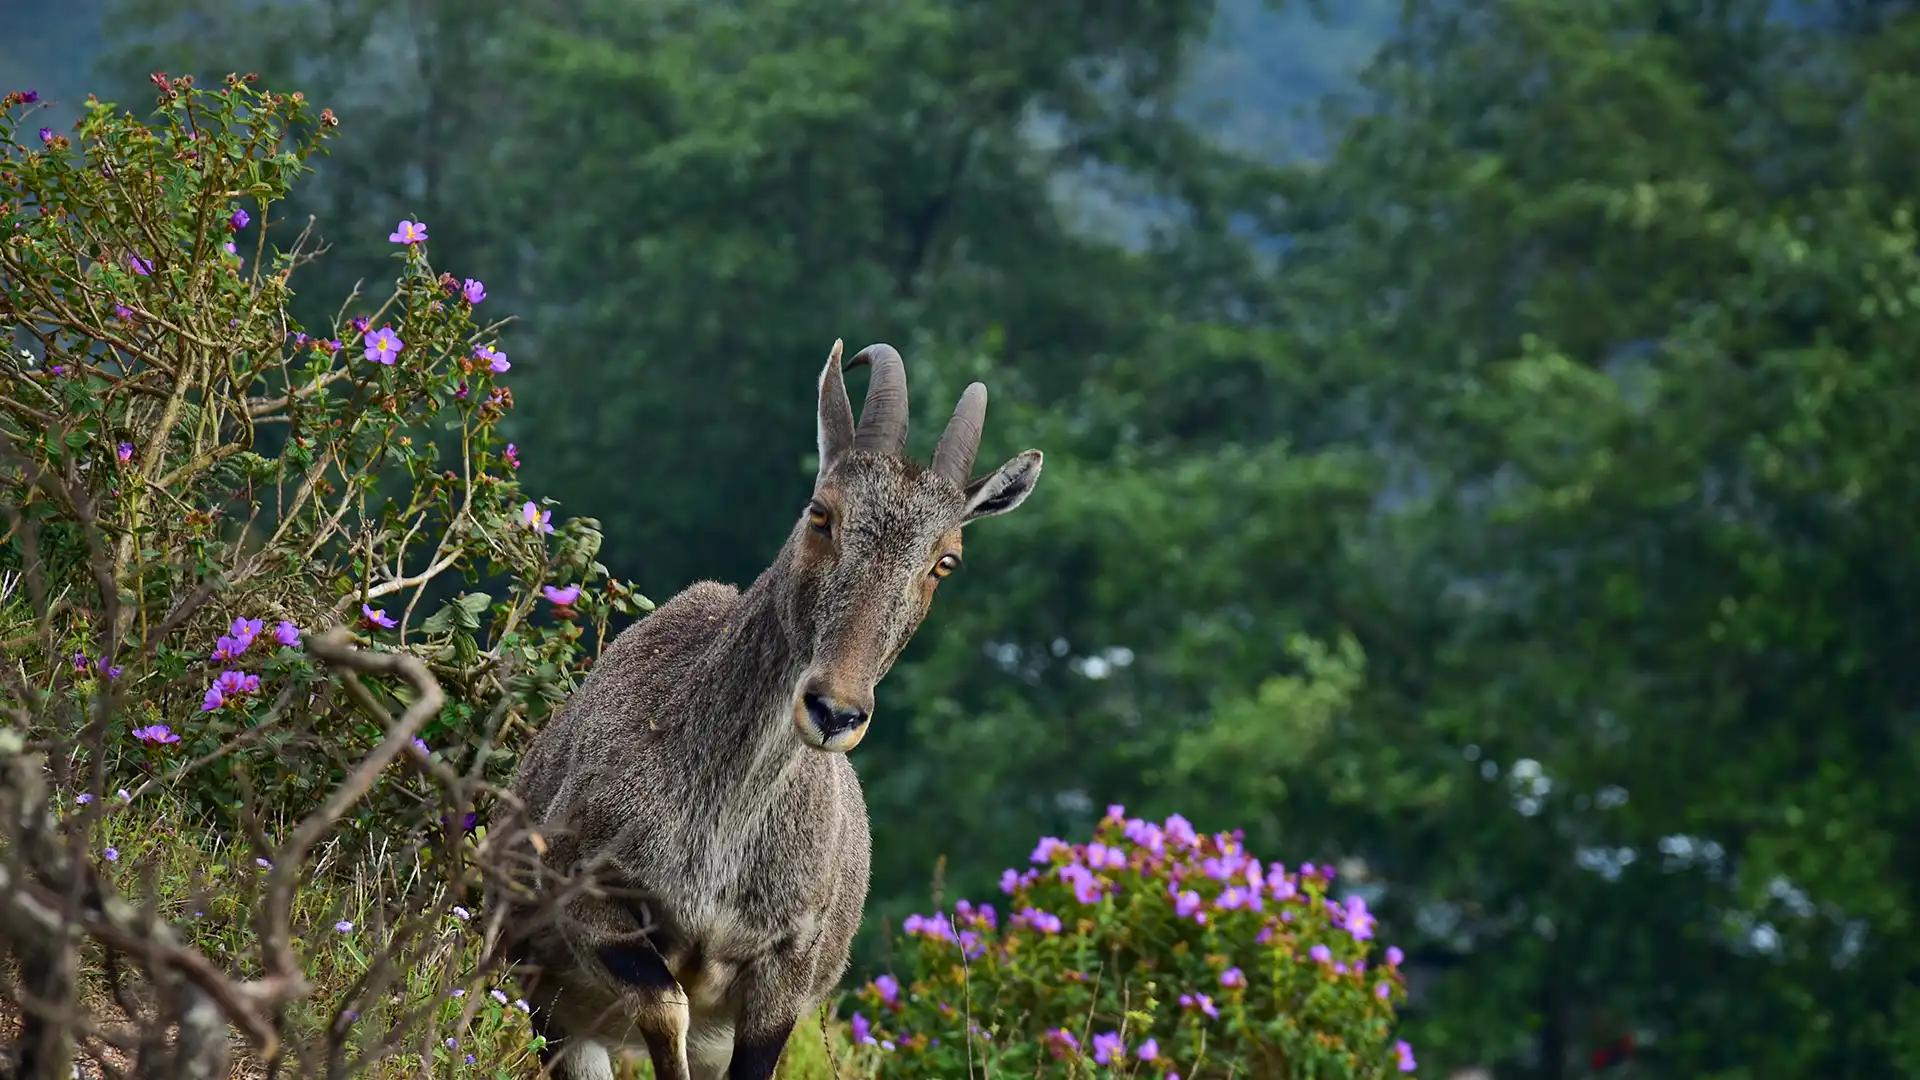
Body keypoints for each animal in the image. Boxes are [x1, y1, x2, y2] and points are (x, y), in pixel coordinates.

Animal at [495, 342, 1036, 1076]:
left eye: (944, 560)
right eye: (821, 512)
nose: (835, 711)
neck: (722, 823)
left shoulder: (786, 966)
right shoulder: (582, 894)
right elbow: (664, 1006)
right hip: (553, 1007)